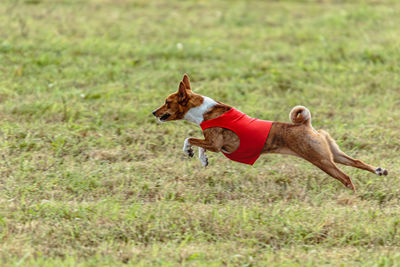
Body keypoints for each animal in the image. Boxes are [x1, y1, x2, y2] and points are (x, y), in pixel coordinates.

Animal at [152, 74, 388, 192]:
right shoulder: (213, 144)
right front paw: (202, 159)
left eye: (167, 102)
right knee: (357, 162)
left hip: (321, 160)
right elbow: (199, 145)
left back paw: (353, 195)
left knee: (346, 177)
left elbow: (189, 138)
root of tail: (305, 124)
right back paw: (379, 171)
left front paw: (189, 151)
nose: (153, 112)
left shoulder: (216, 144)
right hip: (332, 153)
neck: (205, 111)